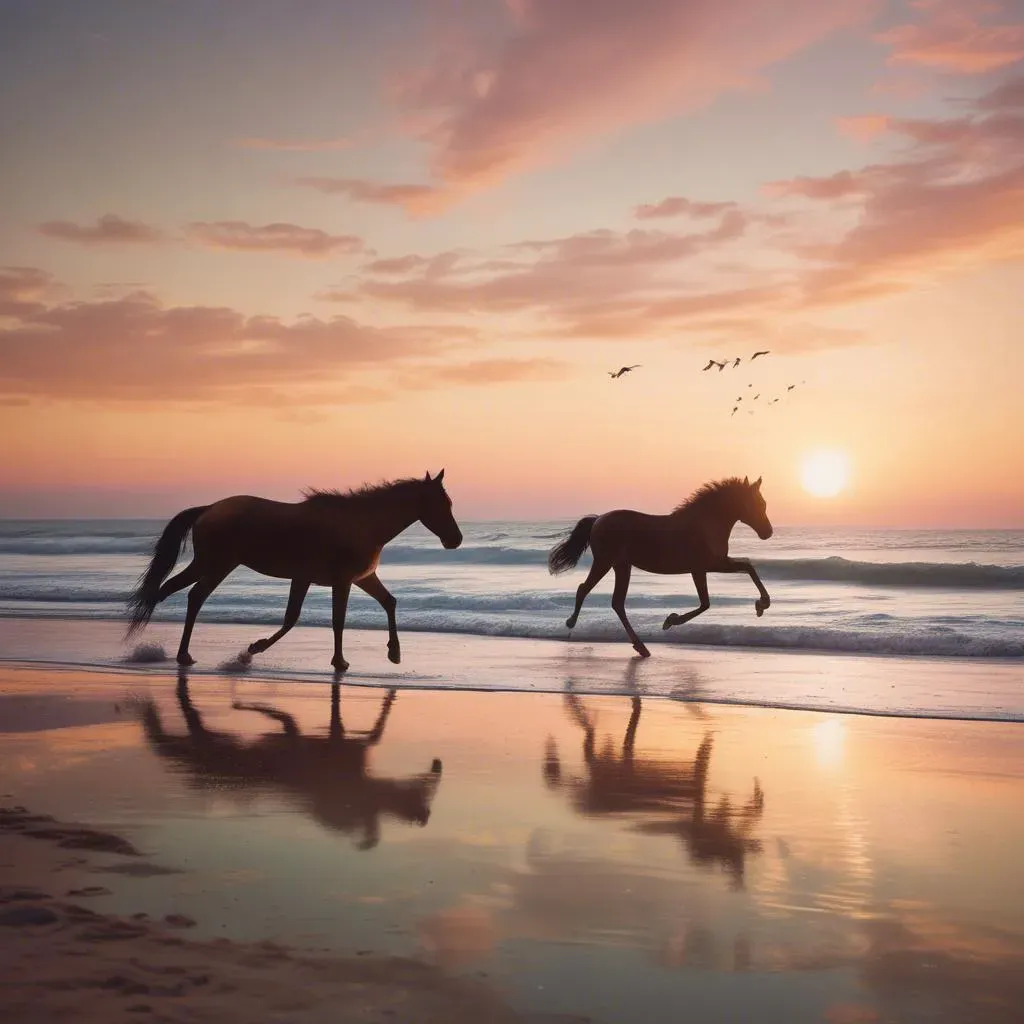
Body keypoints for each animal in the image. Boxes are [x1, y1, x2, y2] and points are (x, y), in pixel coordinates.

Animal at [126, 470, 463, 670]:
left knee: (175, 592)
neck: (362, 524)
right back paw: (175, 652)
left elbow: (387, 602)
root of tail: (209, 509)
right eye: (440, 504)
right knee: (189, 595)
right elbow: (336, 620)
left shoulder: (352, 578)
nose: (455, 540)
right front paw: (340, 661)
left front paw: (394, 653)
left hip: (213, 564)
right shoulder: (342, 581)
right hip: (217, 564)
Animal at [547, 476, 773, 657]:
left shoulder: (713, 564)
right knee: (585, 589)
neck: (705, 524)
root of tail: (597, 520)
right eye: (758, 503)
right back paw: (572, 622)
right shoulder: (704, 566)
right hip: (605, 562)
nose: (768, 532)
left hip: (622, 565)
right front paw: (670, 620)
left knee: (617, 602)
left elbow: (747, 567)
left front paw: (761, 605)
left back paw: (640, 647)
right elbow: (707, 602)